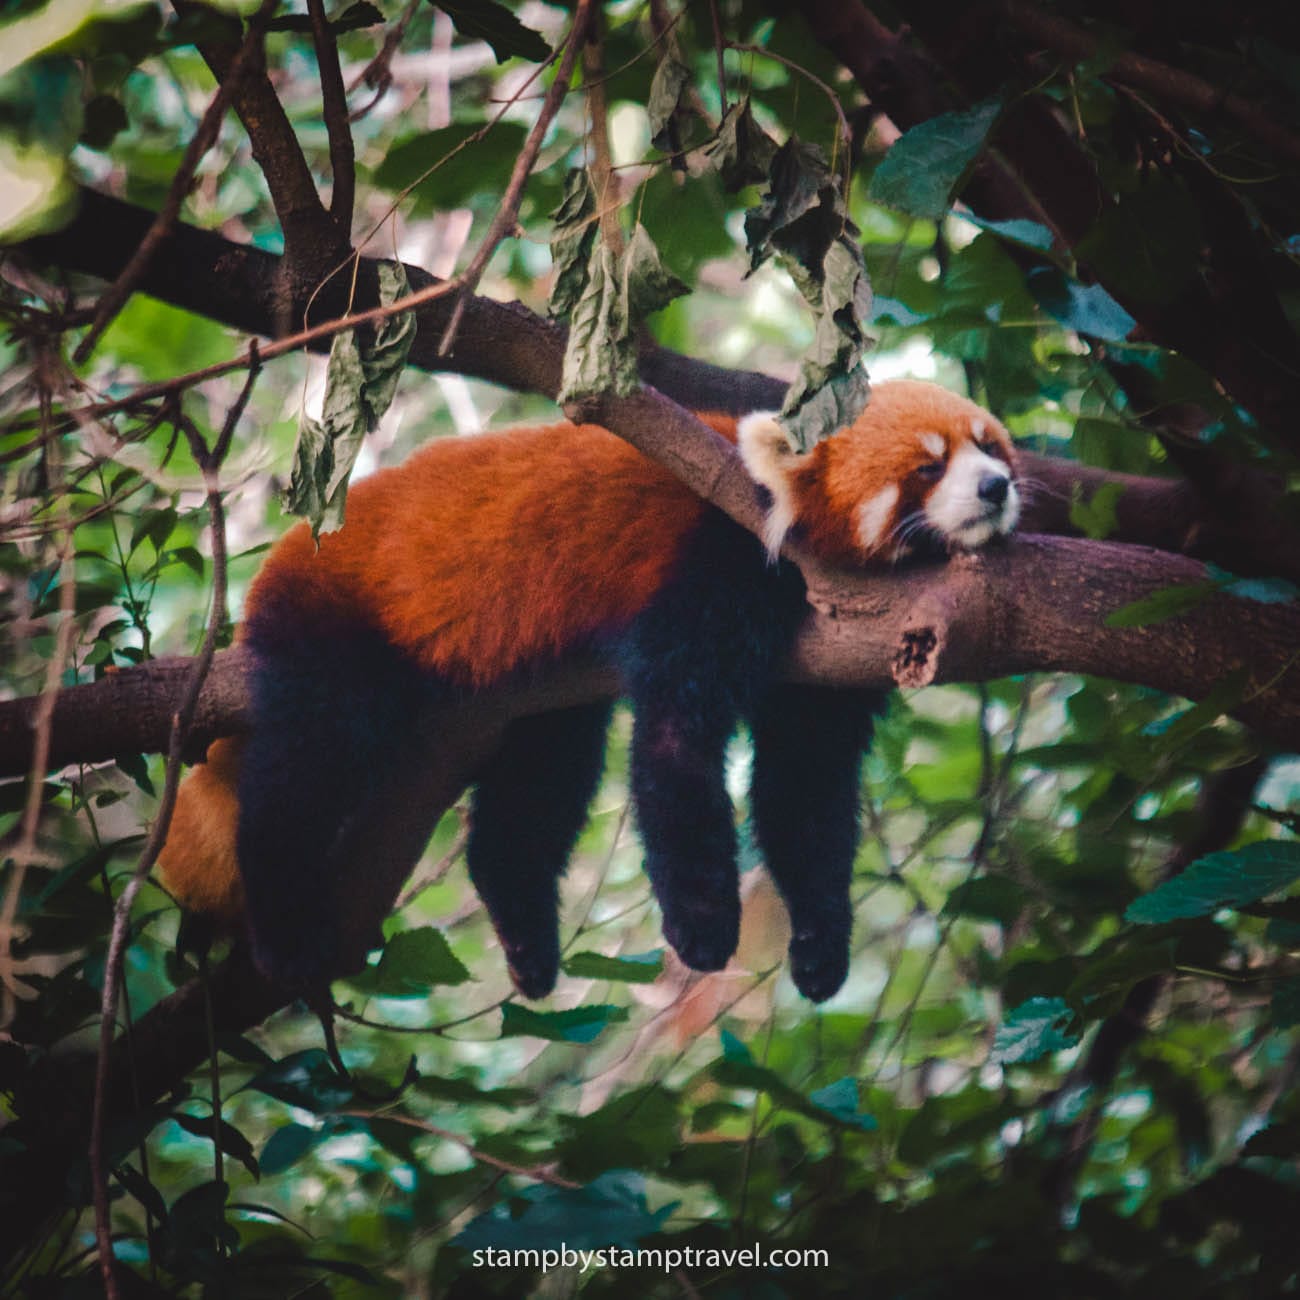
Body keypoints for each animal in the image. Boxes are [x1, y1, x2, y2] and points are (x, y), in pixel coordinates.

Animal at [157, 379, 1020, 1003]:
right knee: (306, 765)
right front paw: (704, 926)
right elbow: (676, 740)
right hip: (335, 623)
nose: (998, 487)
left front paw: (818, 946)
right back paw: (283, 926)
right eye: (928, 466)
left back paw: (527, 940)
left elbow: (804, 791)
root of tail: (284, 553)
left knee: (538, 791)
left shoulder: (847, 650)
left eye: (989, 445)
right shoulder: (716, 561)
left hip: (536, 688)